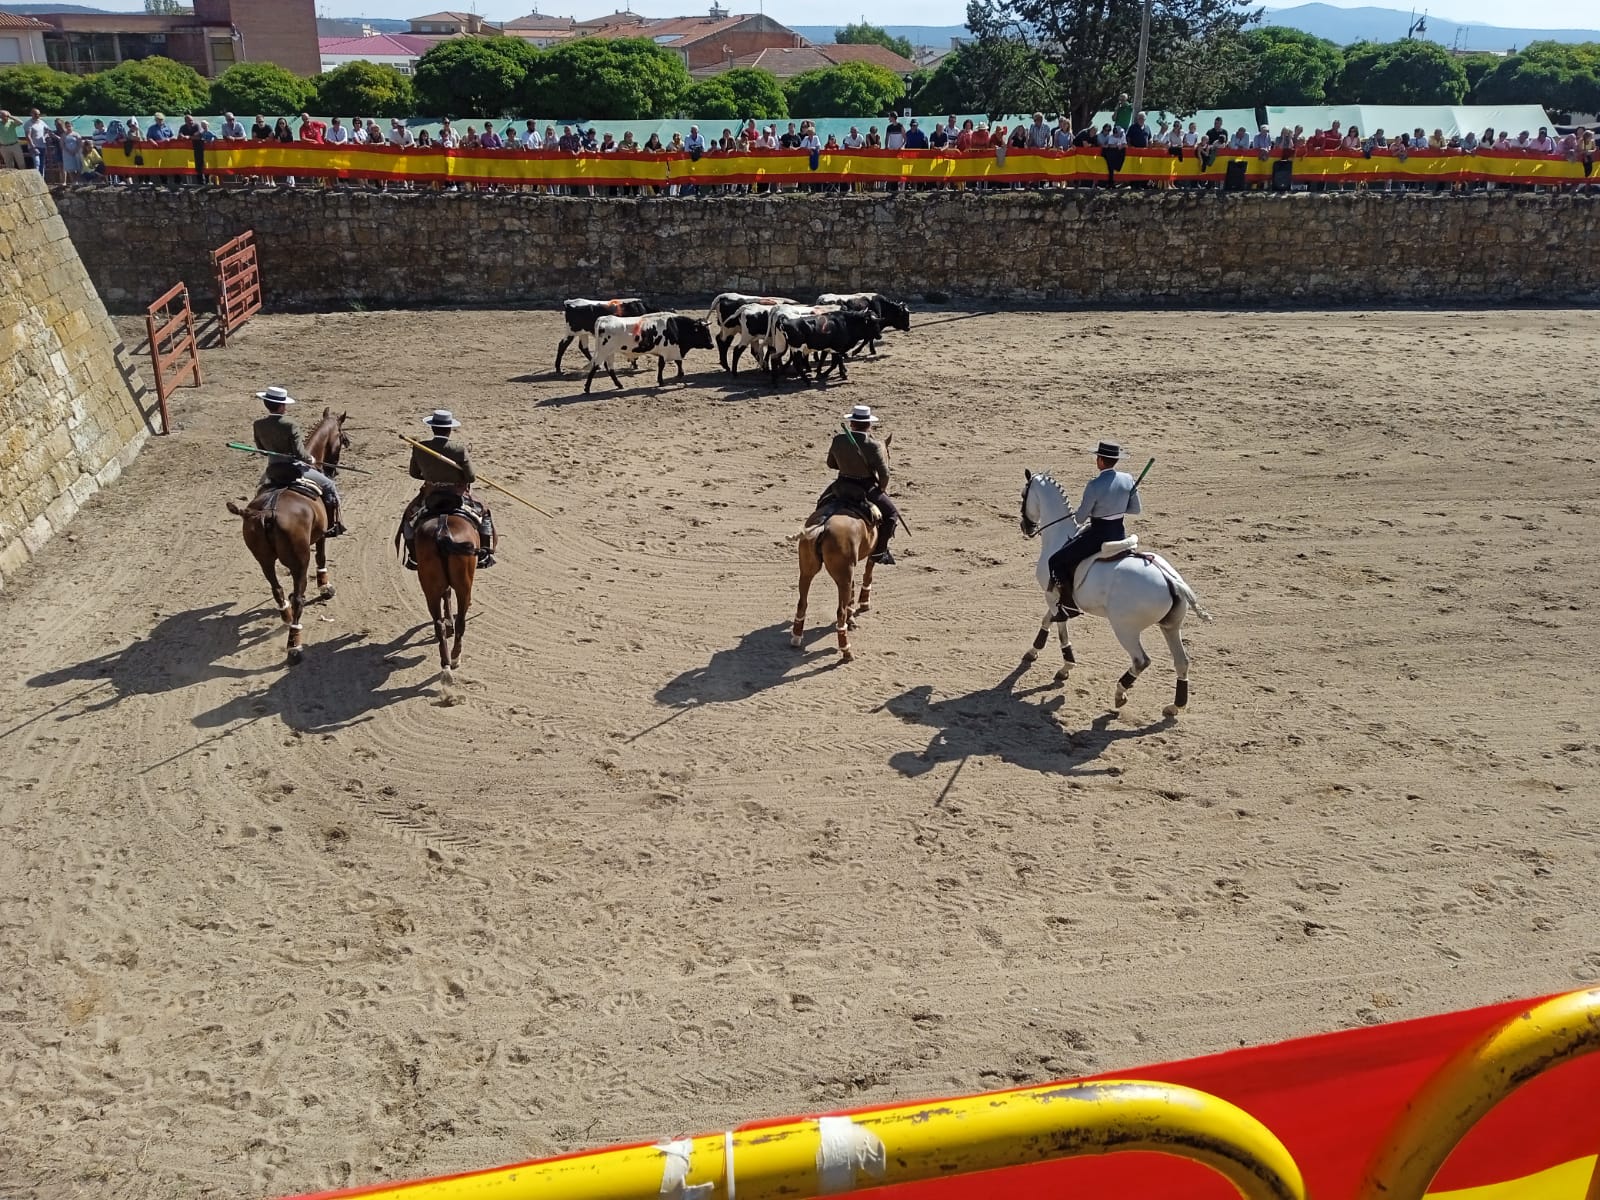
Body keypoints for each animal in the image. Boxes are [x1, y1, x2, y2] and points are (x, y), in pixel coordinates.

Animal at [585, 312, 716, 392]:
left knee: (610, 368)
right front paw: (662, 381)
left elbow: (676, 362)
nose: (712, 345)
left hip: (609, 352)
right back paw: (587, 388)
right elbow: (664, 365)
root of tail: (604, 319)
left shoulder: (669, 350)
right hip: (604, 351)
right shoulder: (667, 350)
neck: (674, 327)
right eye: (703, 331)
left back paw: (619, 385)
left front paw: (679, 374)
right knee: (595, 366)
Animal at [793, 435, 896, 668]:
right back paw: (846, 651)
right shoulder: (870, 554)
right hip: (841, 573)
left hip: (807, 569)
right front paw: (863, 604)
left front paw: (853, 614)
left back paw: (796, 638)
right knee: (838, 611)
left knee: (802, 602)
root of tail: (823, 524)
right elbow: (868, 574)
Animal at [1024, 467, 1209, 713]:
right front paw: (1039, 654)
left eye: (1023, 494)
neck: (1060, 535)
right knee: (1182, 661)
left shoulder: (1052, 595)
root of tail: (1172, 580)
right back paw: (1174, 706)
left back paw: (1120, 693)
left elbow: (1058, 627)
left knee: (1141, 660)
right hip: (1171, 627)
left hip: (1125, 628)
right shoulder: (1059, 599)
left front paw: (1061, 664)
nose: (1026, 527)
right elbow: (1049, 620)